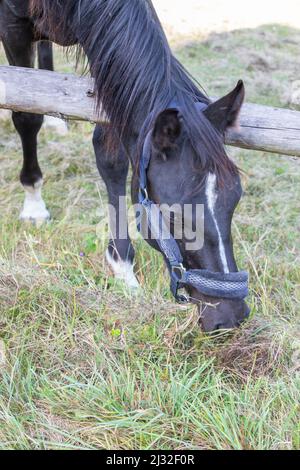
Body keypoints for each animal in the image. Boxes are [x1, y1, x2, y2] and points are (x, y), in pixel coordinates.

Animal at [0, 0, 251, 332]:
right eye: (174, 214)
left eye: (235, 200)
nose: (231, 316)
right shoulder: (12, 28)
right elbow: (26, 116)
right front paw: (34, 203)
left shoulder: (103, 50)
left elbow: (112, 156)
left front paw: (122, 265)